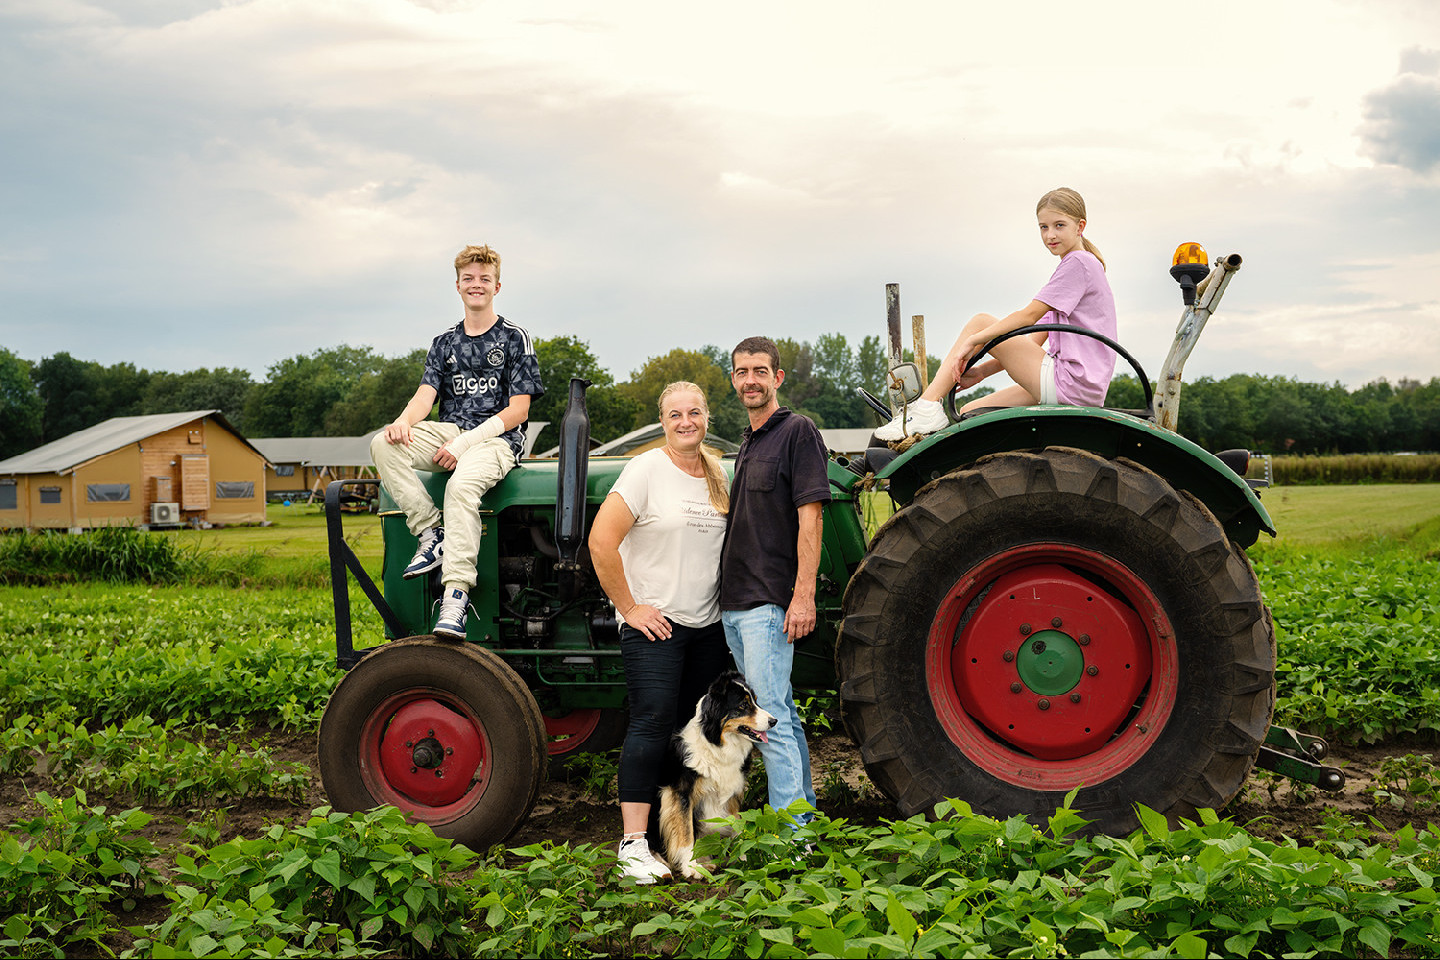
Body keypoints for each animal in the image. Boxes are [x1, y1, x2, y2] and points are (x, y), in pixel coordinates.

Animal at [659, 673, 777, 880]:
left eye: (756, 701)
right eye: (743, 705)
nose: (774, 721)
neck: (717, 746)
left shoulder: (733, 793)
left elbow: (739, 827)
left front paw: (745, 858)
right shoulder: (681, 794)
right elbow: (686, 832)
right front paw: (691, 867)